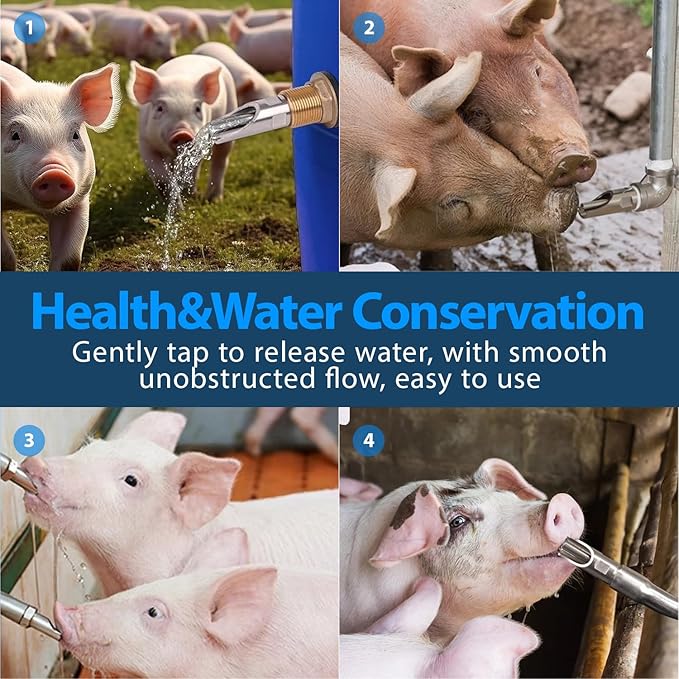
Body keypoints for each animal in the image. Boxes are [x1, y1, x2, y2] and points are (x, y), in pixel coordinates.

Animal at [1, 61, 121, 271]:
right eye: (15, 135)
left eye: (75, 135)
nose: (54, 173)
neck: (18, 204)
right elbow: (5, 257)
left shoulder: (80, 199)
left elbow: (69, 260)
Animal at [126, 54, 237, 201]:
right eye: (160, 108)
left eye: (197, 108)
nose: (182, 132)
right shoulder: (145, 142)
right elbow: (160, 176)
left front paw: (186, 195)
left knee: (220, 160)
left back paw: (213, 199)